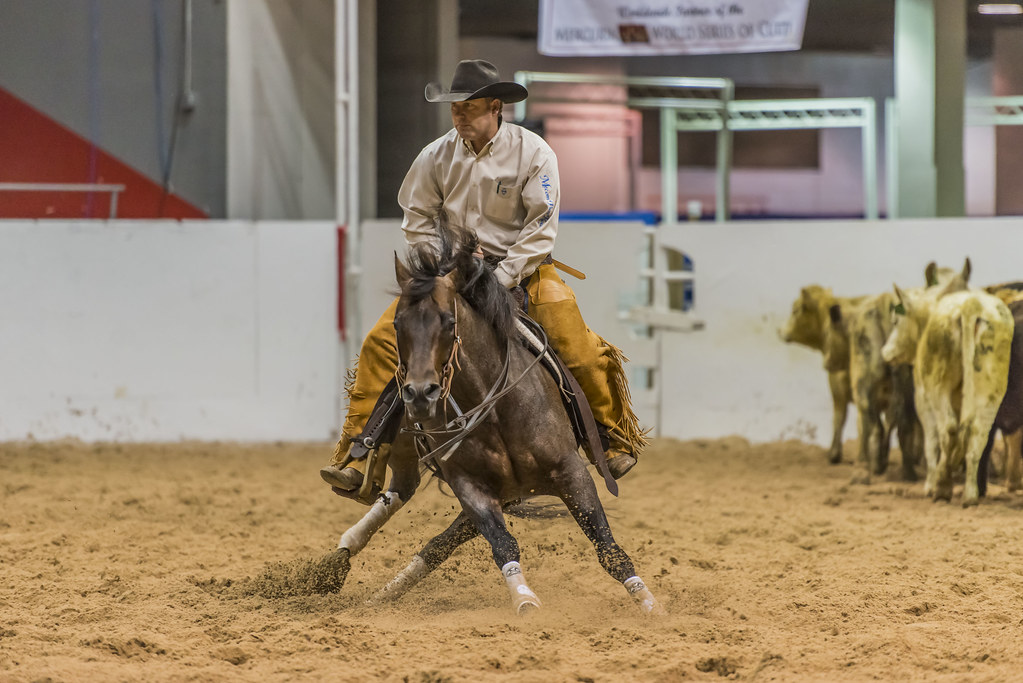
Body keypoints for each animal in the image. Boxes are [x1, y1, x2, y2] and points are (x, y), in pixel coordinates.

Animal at [331, 221, 658, 617]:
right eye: (397, 324)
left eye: (449, 321)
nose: (420, 394)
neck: (496, 410)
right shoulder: (469, 484)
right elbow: (503, 543)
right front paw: (525, 599)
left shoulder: (570, 471)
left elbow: (608, 548)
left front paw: (649, 602)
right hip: (409, 449)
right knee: (398, 490)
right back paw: (340, 555)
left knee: (424, 523)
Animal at [879, 286, 1014, 505]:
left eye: (896, 321)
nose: (885, 352)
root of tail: (971, 303)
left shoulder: (922, 399)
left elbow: (931, 443)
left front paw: (929, 485)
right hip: (990, 390)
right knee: (977, 436)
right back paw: (970, 495)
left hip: (938, 387)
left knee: (948, 429)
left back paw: (942, 487)